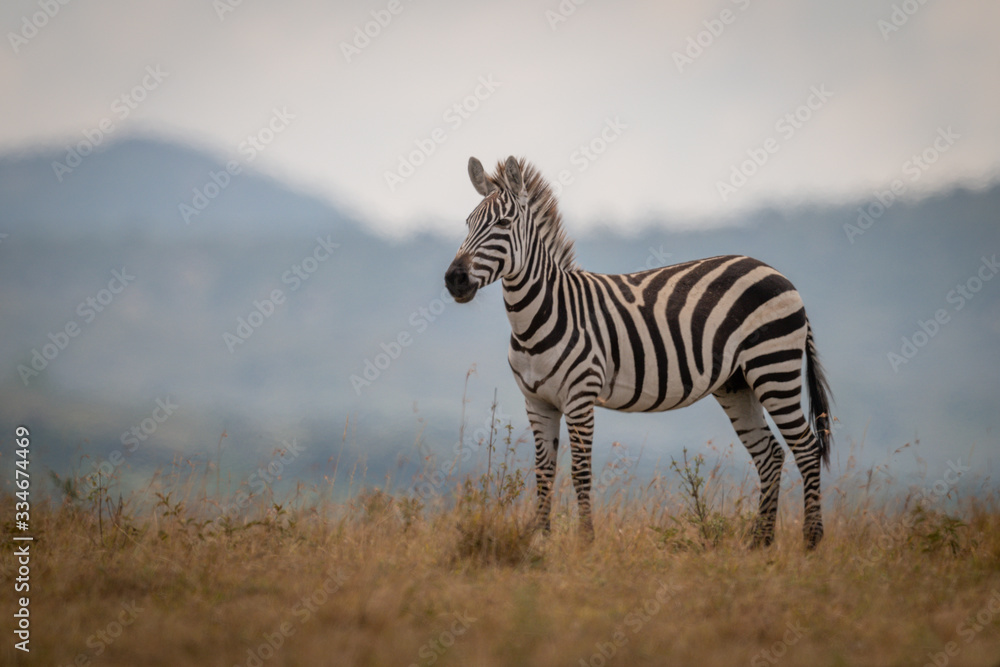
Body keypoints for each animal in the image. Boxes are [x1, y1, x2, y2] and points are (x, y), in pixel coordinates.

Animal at [444, 156, 833, 548]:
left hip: (774, 367)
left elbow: (580, 471)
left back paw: (811, 542)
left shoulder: (580, 397)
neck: (537, 317)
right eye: (468, 223)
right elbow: (544, 472)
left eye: (503, 224)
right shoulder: (537, 402)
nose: (453, 279)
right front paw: (542, 540)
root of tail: (778, 274)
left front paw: (586, 541)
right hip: (737, 383)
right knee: (769, 453)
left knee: (806, 447)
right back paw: (759, 544)